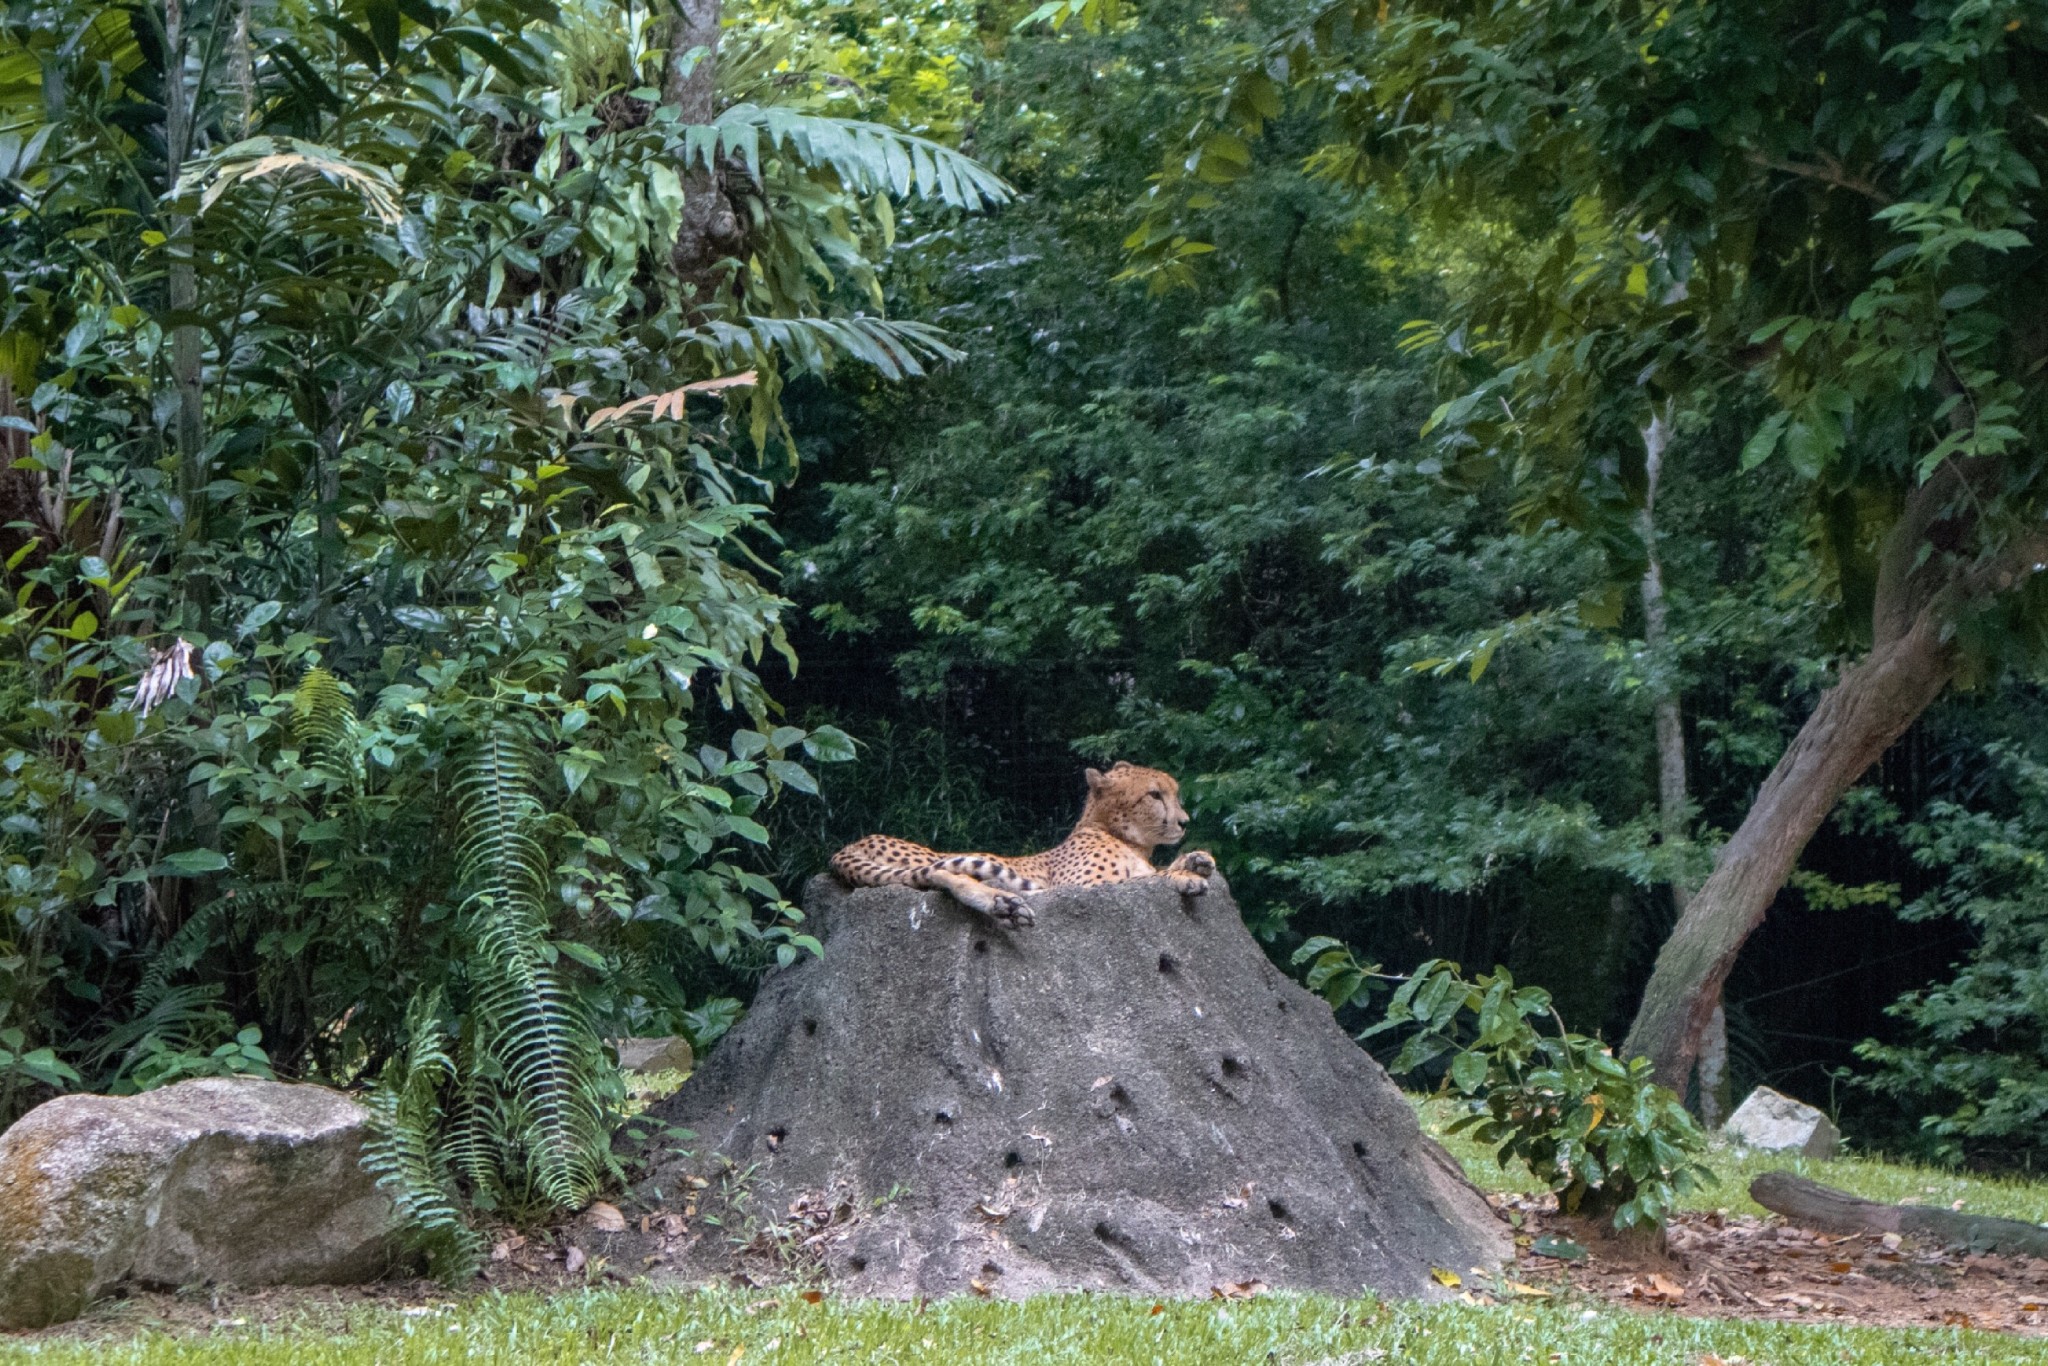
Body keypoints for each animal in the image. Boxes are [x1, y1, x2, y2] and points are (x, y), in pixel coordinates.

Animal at [827, 757, 1212, 929]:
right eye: (1155, 795)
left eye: (1174, 793)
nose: (1184, 821)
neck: (1126, 838)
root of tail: (847, 846)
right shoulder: (1085, 886)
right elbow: (1149, 877)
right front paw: (1186, 875)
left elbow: (1154, 870)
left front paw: (1195, 860)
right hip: (937, 856)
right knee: (937, 874)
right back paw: (1003, 904)